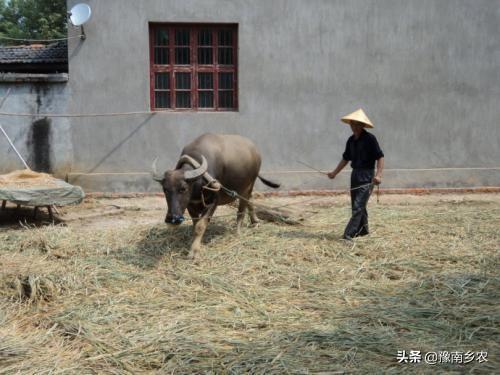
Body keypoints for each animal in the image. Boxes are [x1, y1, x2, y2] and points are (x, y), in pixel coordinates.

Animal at [150, 132, 280, 258]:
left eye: (183, 188)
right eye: (165, 189)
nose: (173, 219)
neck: (198, 184)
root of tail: (255, 151)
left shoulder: (213, 202)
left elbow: (200, 226)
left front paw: (194, 252)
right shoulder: (190, 204)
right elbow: (195, 225)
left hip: (248, 185)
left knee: (242, 209)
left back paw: (238, 232)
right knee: (249, 201)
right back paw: (255, 221)